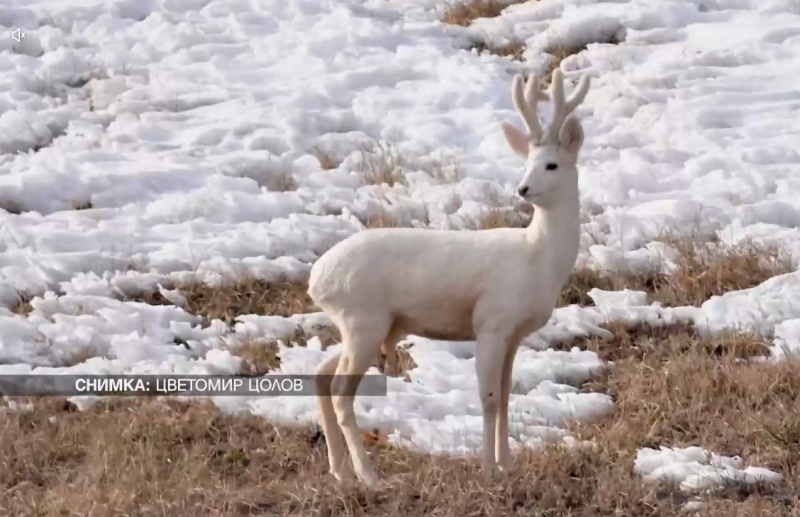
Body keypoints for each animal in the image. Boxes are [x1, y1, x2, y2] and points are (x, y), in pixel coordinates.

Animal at [310, 69, 592, 488]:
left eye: (551, 164)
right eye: (528, 161)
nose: (522, 188)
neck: (537, 258)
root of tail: (317, 280)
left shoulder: (515, 333)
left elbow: (506, 393)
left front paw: (507, 463)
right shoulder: (491, 322)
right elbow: (488, 397)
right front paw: (489, 469)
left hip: (362, 326)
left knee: (320, 375)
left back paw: (341, 471)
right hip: (364, 320)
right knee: (342, 389)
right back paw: (370, 476)